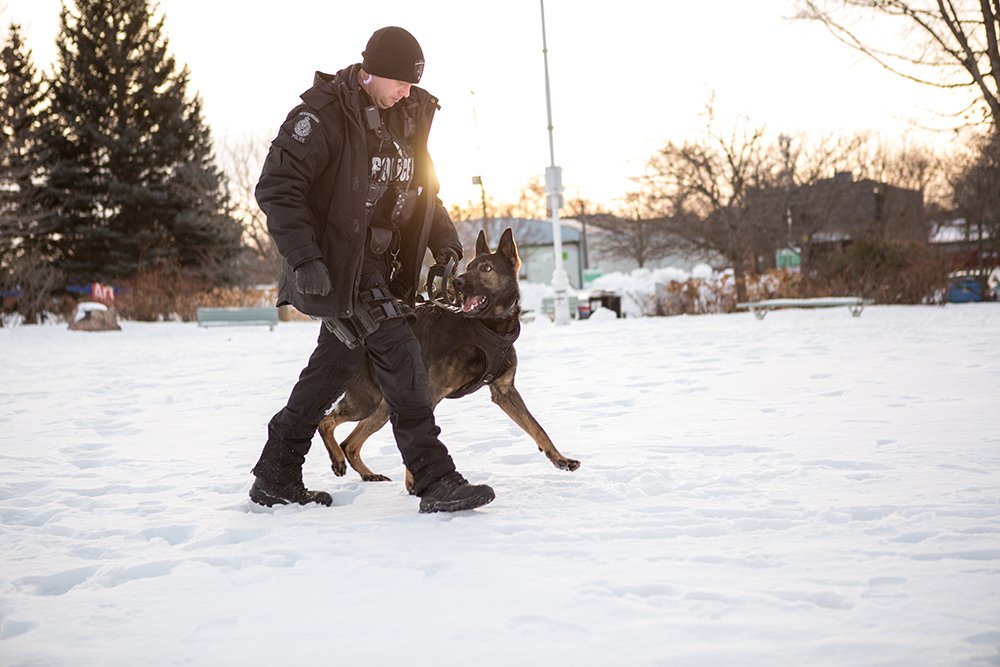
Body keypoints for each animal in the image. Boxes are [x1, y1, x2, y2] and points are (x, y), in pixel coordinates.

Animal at [316, 227, 584, 494]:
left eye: (486, 268)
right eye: (469, 266)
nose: (458, 282)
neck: (489, 325)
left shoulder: (505, 391)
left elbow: (537, 427)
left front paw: (560, 459)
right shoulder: (431, 393)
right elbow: (421, 435)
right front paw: (415, 483)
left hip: (382, 406)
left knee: (350, 443)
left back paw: (368, 474)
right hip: (367, 401)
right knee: (326, 421)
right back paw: (338, 460)